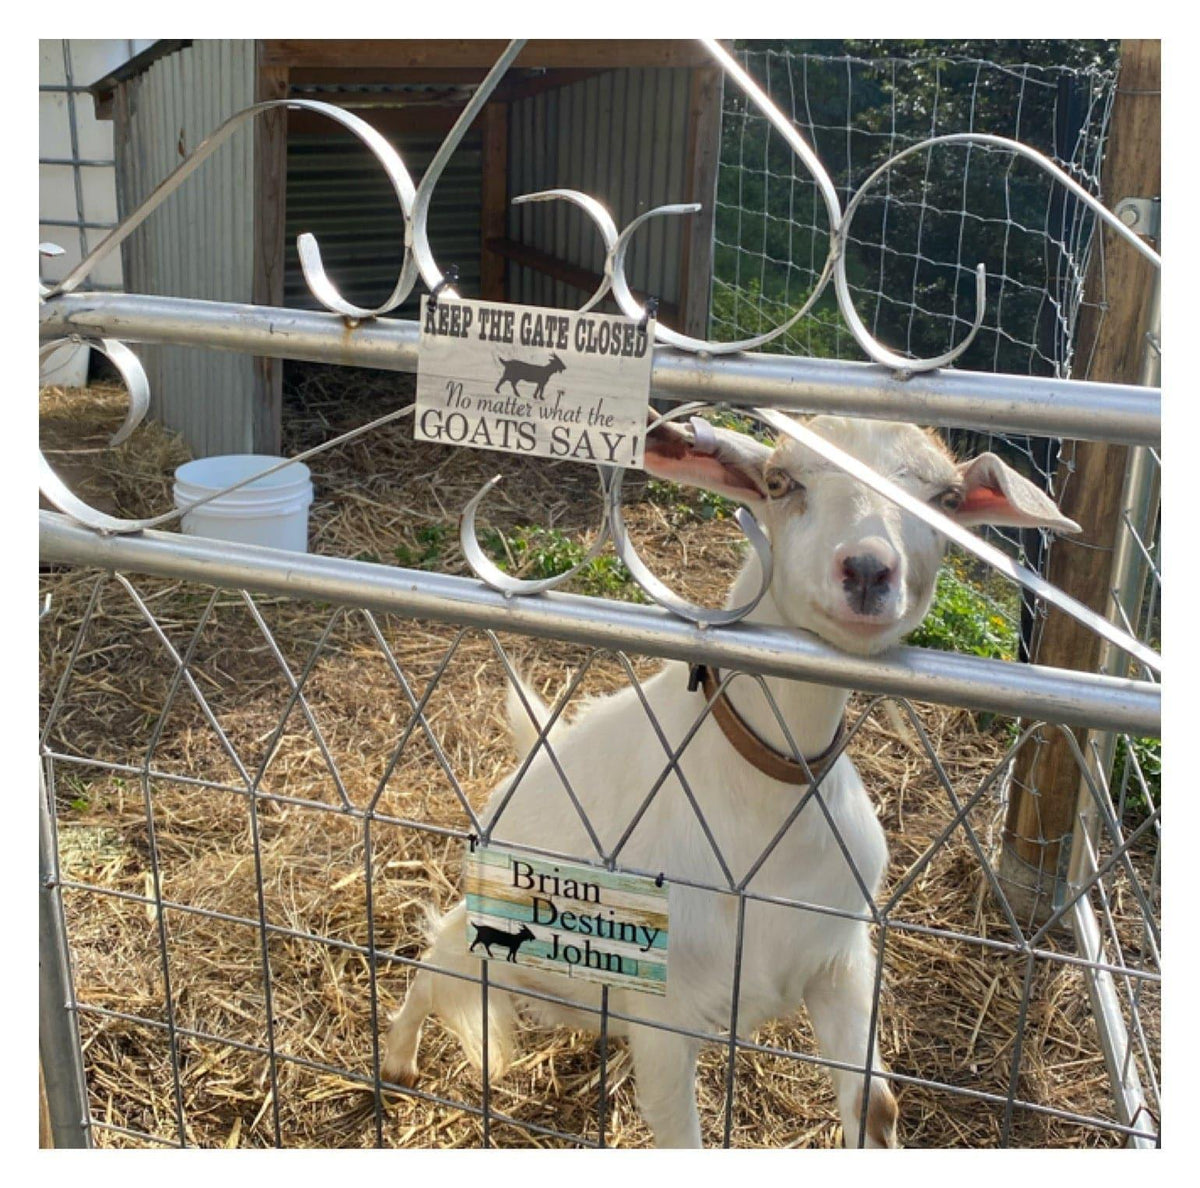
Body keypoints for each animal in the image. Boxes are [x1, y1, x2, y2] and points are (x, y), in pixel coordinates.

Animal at [384, 415, 1079, 1147]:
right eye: (780, 481)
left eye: (946, 500)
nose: (867, 568)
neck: (765, 798)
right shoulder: (665, 1013)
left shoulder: (841, 958)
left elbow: (876, 1107)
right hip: (486, 927)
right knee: (432, 968)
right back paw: (397, 1061)